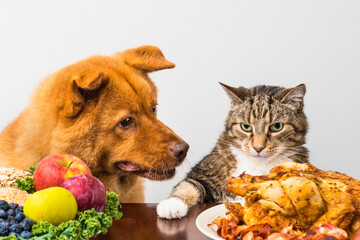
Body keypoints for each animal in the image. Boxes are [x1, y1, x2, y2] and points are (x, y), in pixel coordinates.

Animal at [158, 83, 310, 218]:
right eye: (246, 127)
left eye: (277, 126)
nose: (258, 147)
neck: (257, 165)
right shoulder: (203, 173)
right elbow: (189, 185)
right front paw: (172, 204)